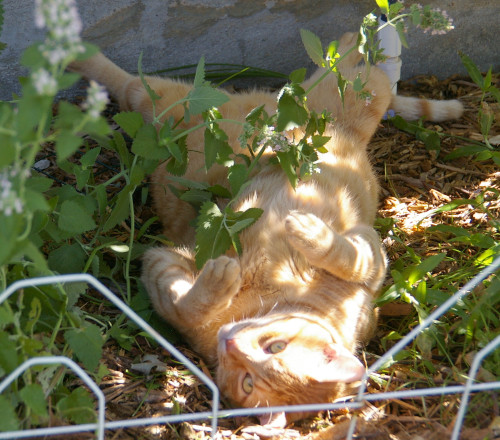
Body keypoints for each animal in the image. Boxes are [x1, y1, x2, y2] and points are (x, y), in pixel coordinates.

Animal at [68, 31, 462, 426]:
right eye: (275, 345)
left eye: (247, 382)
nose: (230, 342)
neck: (274, 300)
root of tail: (351, 135)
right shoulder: (369, 248)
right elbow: (352, 259)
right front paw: (306, 235)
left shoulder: (161, 262)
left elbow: (184, 305)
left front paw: (219, 282)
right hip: (286, 101)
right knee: (355, 73)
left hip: (172, 106)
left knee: (131, 87)